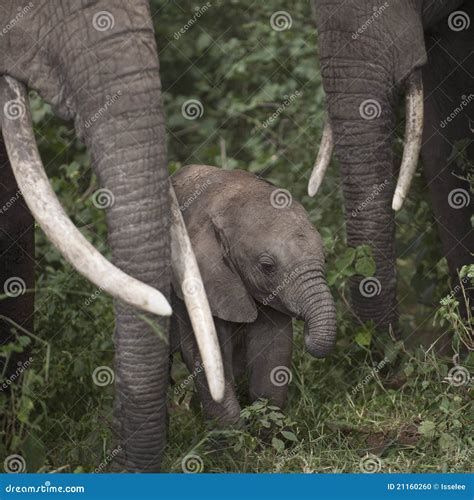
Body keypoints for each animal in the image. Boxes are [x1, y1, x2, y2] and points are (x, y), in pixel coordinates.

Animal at [170, 166, 336, 424]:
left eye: (325, 258)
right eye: (267, 266)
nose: (308, 331)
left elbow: (273, 351)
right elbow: (207, 356)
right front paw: (233, 432)